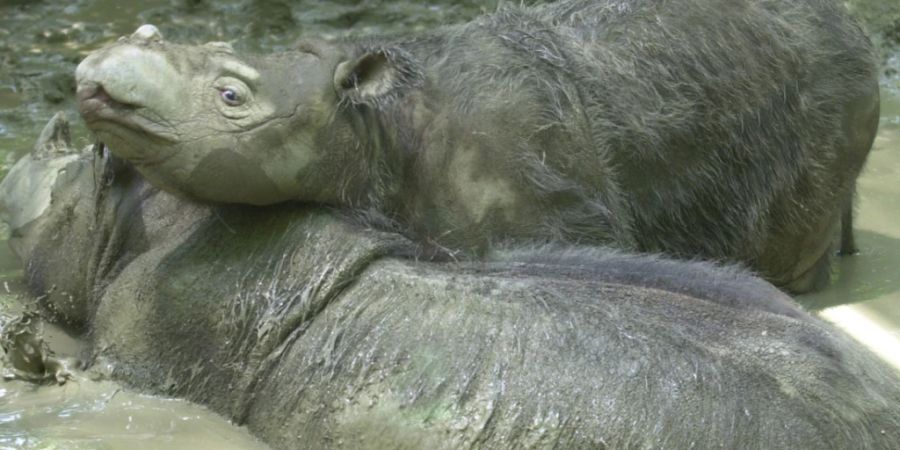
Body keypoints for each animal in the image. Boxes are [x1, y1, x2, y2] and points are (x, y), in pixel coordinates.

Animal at [75, 0, 880, 294]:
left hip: (838, 89)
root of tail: (853, 22)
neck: (373, 126)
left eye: (232, 98)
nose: (94, 78)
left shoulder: (552, 211)